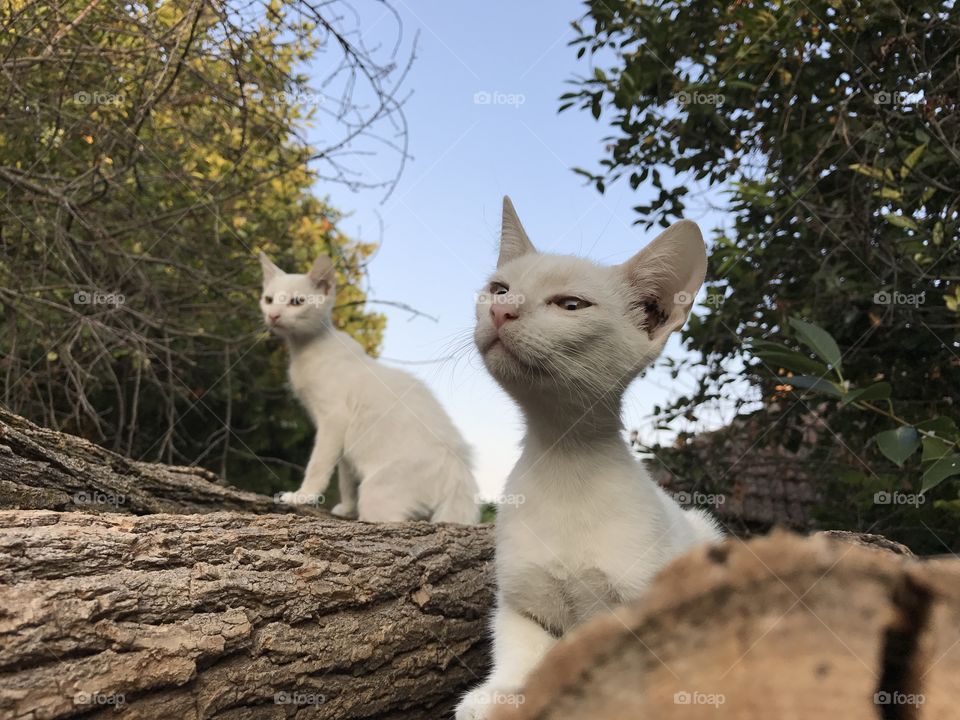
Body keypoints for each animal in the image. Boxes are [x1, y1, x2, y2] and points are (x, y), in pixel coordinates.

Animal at [258, 253, 480, 524]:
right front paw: (347, 507)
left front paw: (304, 495)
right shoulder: (343, 436)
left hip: (379, 491)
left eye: (297, 302)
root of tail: (459, 468)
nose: (274, 316)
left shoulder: (334, 419)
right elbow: (345, 477)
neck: (305, 348)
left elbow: (318, 464)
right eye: (269, 300)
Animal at [456, 197, 720, 720]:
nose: (500, 309)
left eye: (571, 305)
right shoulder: (520, 604)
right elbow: (518, 647)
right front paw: (498, 692)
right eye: (500, 288)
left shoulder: (640, 607)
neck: (565, 456)